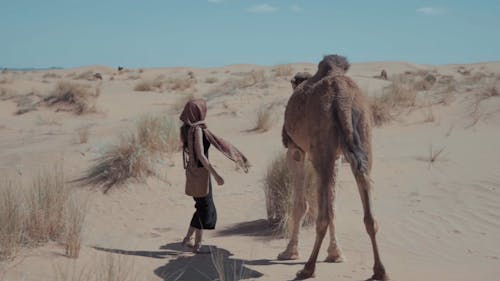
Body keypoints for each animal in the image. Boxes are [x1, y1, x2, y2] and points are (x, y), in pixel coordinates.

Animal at [280, 55, 388, 280]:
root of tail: (342, 99)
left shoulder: (295, 150)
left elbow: (300, 204)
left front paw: (289, 252)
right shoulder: (337, 155)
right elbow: (333, 204)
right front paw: (335, 254)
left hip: (321, 147)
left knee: (322, 216)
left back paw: (308, 268)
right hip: (363, 135)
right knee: (365, 200)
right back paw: (380, 271)